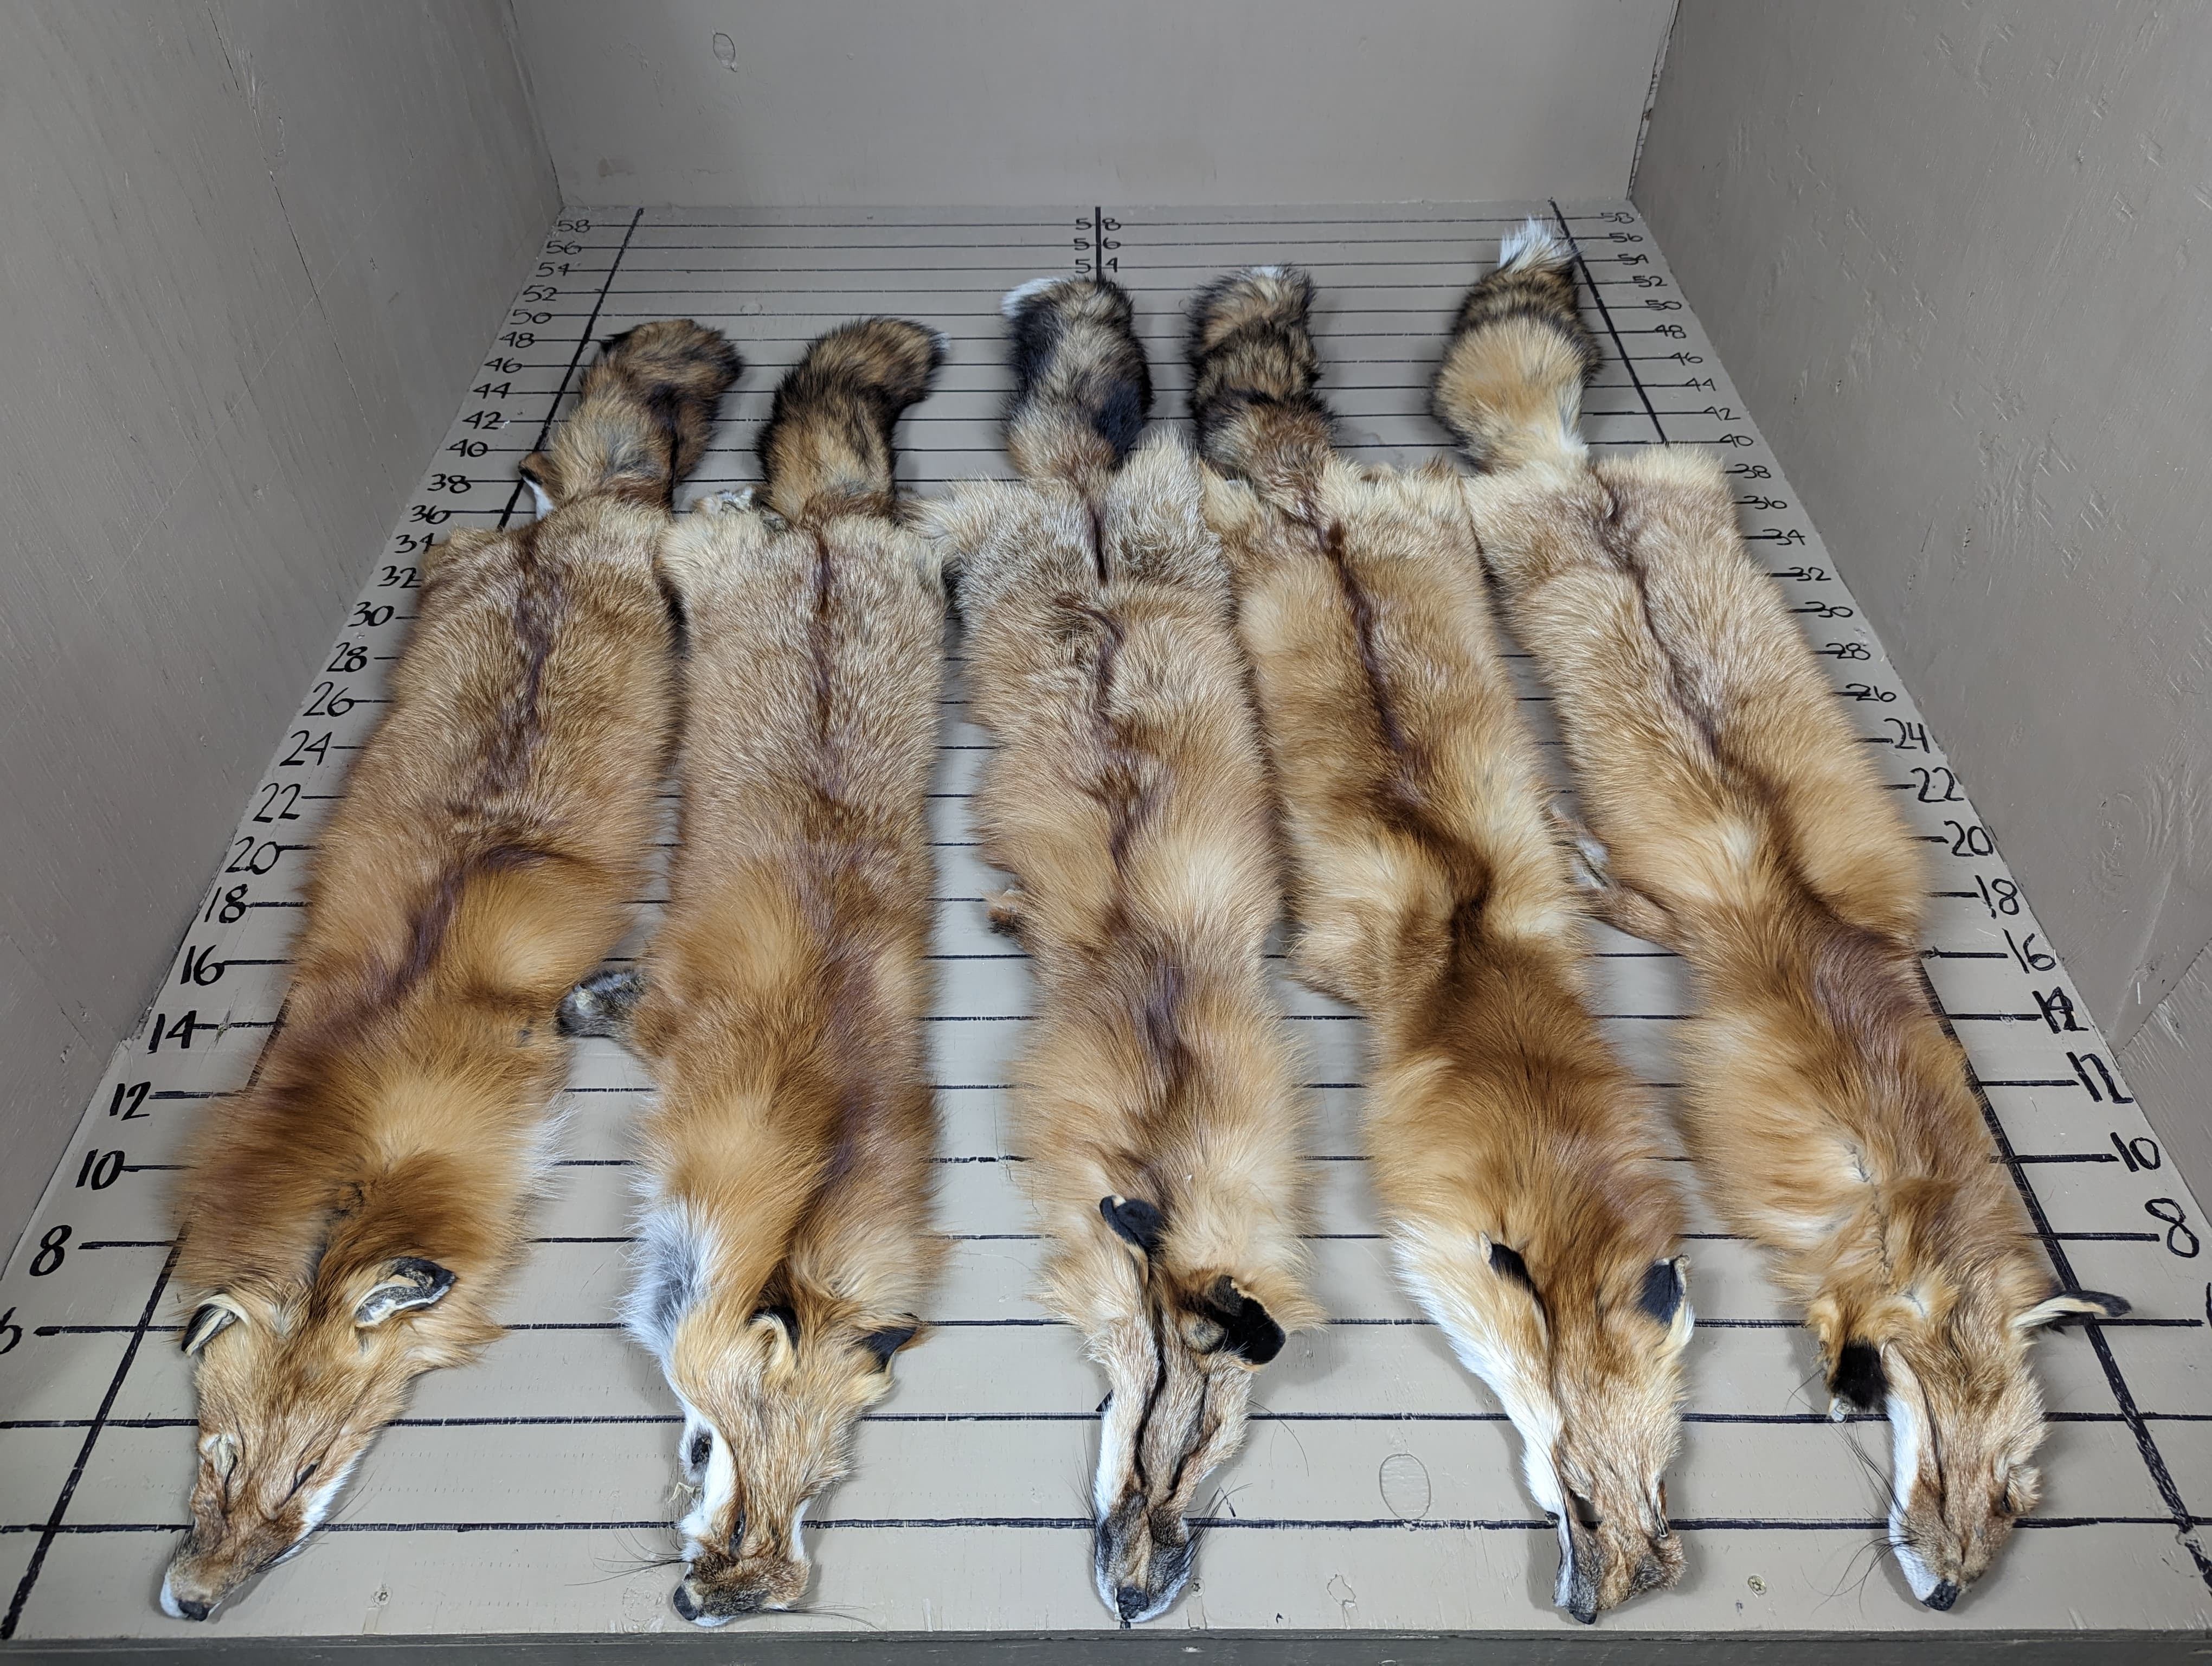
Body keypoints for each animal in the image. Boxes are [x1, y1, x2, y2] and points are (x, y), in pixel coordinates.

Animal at [556, 317, 950, 1627]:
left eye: (821, 1491)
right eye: (702, 1449)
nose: (727, 1602)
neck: (811, 1164)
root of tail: (828, 528)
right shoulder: (668, 1018)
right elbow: (617, 1003)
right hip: (690, 554)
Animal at [922, 276, 1323, 1627]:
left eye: (1201, 1458)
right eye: (1145, 1426)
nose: (1137, 1600)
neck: (1168, 1135)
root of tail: (1090, 496)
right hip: (996, 548)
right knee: (960, 515)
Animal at [1191, 266, 1694, 1624]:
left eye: (1661, 1493)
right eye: (1578, 1495)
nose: (1611, 1600)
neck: (1481, 968)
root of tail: (1314, 494)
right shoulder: (1346, 955)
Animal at [1434, 220, 2129, 1610]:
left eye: (2016, 1497)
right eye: (1954, 1472)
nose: (1952, 1594)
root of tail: (1578, 474)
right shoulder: (1700, 935)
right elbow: (1623, 898)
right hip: (1501, 525)